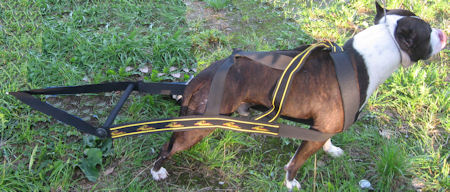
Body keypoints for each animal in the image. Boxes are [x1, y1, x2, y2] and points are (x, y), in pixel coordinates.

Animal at [149, 1, 444, 190]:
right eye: (428, 32)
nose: (443, 32)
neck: (362, 60)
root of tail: (205, 74)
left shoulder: (323, 127)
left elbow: (326, 140)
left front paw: (331, 149)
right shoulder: (313, 135)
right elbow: (296, 162)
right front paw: (290, 182)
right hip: (200, 126)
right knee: (168, 147)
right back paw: (157, 171)